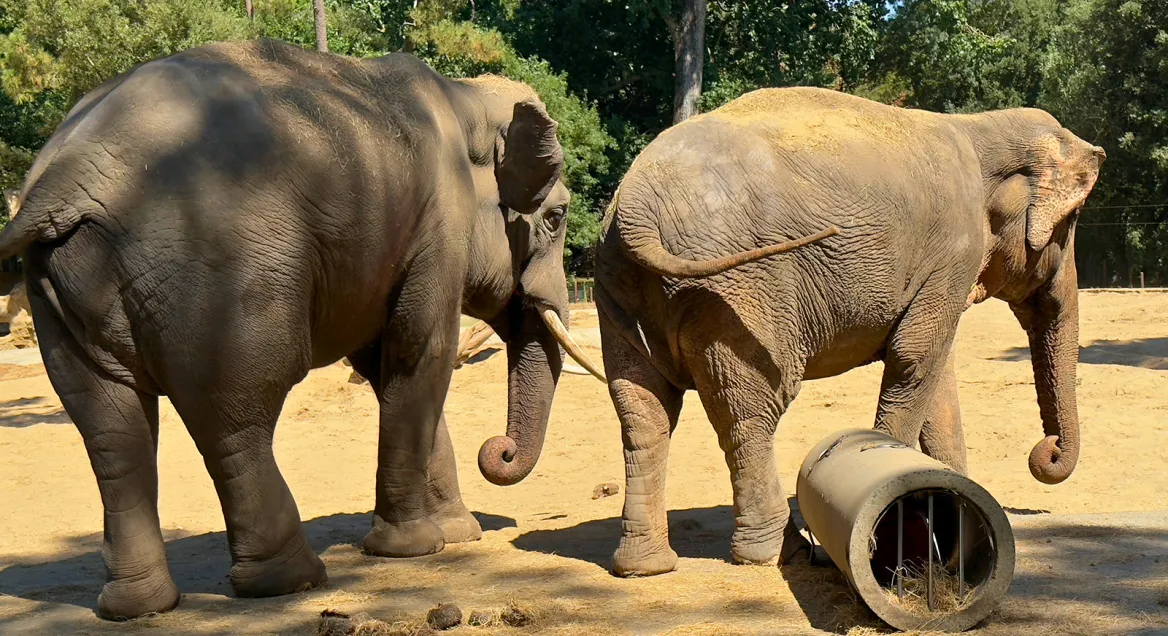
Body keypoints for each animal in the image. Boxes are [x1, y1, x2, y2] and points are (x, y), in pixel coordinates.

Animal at [0, 38, 605, 620]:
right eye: (556, 217)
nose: (498, 451)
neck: (465, 98)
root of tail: (64, 175)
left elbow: (385, 366)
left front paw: (458, 534)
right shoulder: (439, 225)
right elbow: (421, 354)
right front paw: (414, 547)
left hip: (62, 287)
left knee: (110, 427)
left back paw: (137, 607)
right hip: (223, 278)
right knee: (235, 414)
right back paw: (293, 579)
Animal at [594, 87, 1104, 577]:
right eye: (1072, 223)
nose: (1045, 452)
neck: (980, 126)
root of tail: (637, 204)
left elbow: (935, 374)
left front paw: (957, 513)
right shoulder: (955, 248)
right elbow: (915, 357)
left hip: (621, 289)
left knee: (644, 412)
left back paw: (644, 567)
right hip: (734, 293)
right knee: (752, 411)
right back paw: (782, 555)